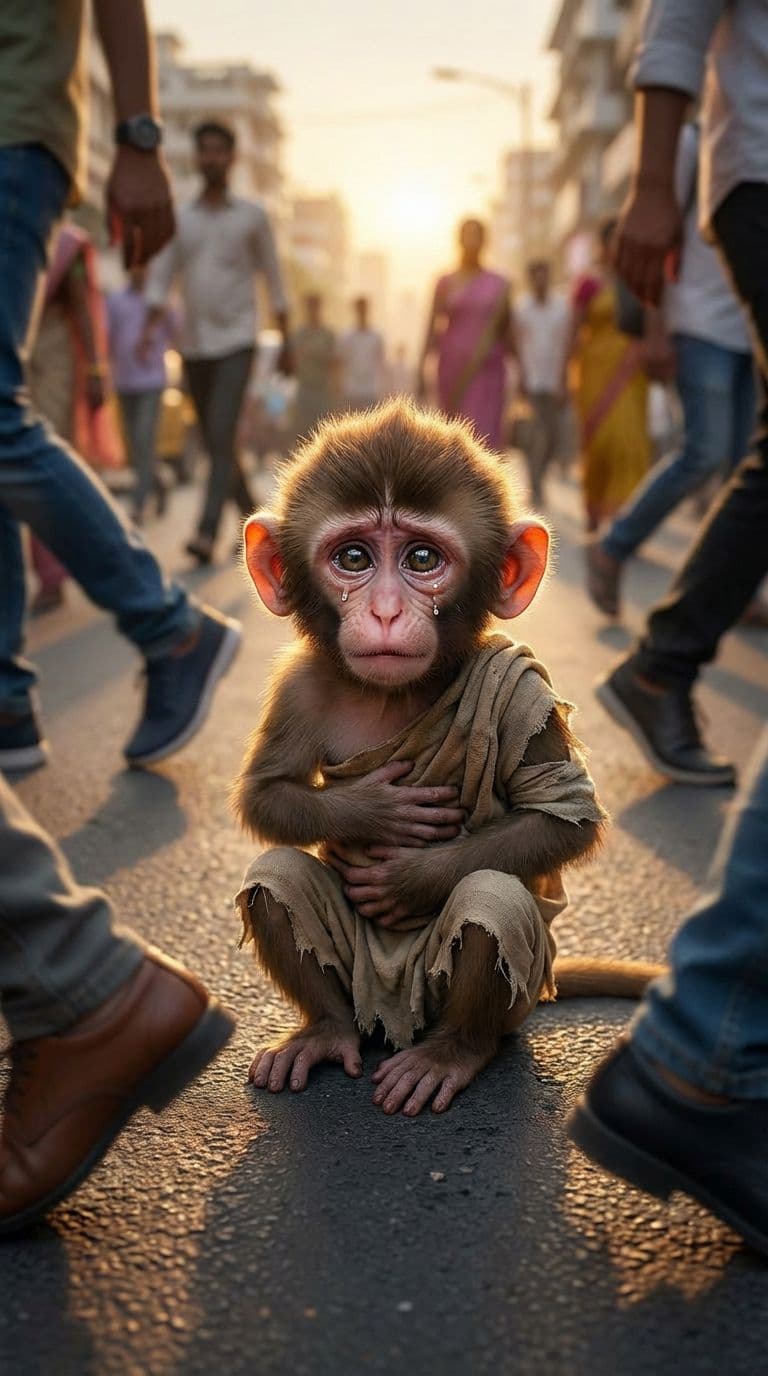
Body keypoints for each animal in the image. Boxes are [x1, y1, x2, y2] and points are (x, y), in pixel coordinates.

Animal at [233, 400, 662, 1117]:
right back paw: (325, 1031)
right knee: (276, 878)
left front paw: (408, 876)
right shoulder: (300, 683)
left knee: (493, 900)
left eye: (422, 558)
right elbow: (267, 793)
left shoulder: (525, 690)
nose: (383, 612)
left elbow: (564, 814)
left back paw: (451, 1054)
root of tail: (391, 1022)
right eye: (353, 557)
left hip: (511, 992)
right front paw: (375, 810)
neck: (398, 695)